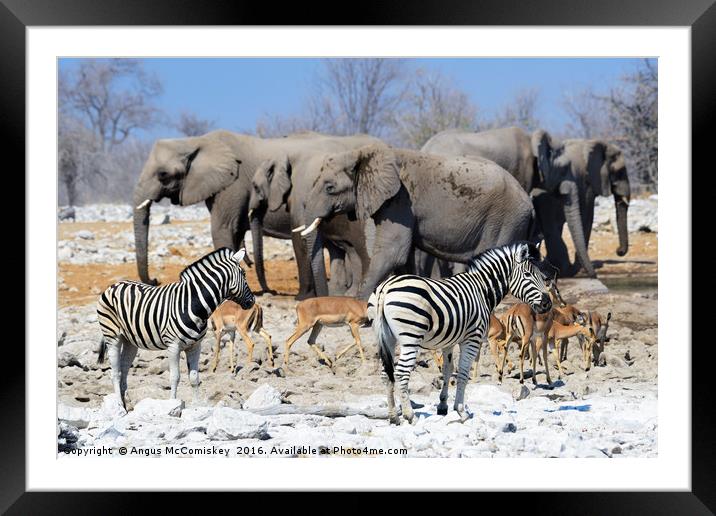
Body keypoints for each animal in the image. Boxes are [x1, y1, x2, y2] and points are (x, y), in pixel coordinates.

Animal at [93, 247, 253, 408]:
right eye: (244, 274)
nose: (252, 301)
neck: (194, 304)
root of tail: (114, 285)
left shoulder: (195, 346)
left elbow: (194, 377)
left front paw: (197, 405)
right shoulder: (173, 346)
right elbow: (175, 377)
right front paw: (173, 404)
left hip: (130, 341)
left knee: (124, 370)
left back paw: (127, 405)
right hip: (112, 336)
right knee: (116, 372)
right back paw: (119, 405)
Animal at [136, 131, 380, 296]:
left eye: (163, 175)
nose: (155, 280)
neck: (195, 141)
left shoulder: (232, 184)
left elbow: (223, 228)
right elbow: (232, 232)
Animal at [298, 144, 536, 298]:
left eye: (330, 188)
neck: (364, 153)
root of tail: (528, 201)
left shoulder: (401, 200)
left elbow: (393, 252)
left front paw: (359, 307)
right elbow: (405, 256)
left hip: (505, 220)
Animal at [370, 242, 552, 424]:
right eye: (528, 275)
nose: (547, 304)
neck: (482, 290)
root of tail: (385, 287)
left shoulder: (448, 342)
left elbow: (447, 370)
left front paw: (443, 406)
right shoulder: (472, 339)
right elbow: (463, 374)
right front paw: (461, 411)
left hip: (387, 338)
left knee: (386, 374)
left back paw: (393, 416)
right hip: (411, 337)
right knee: (401, 373)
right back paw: (410, 415)